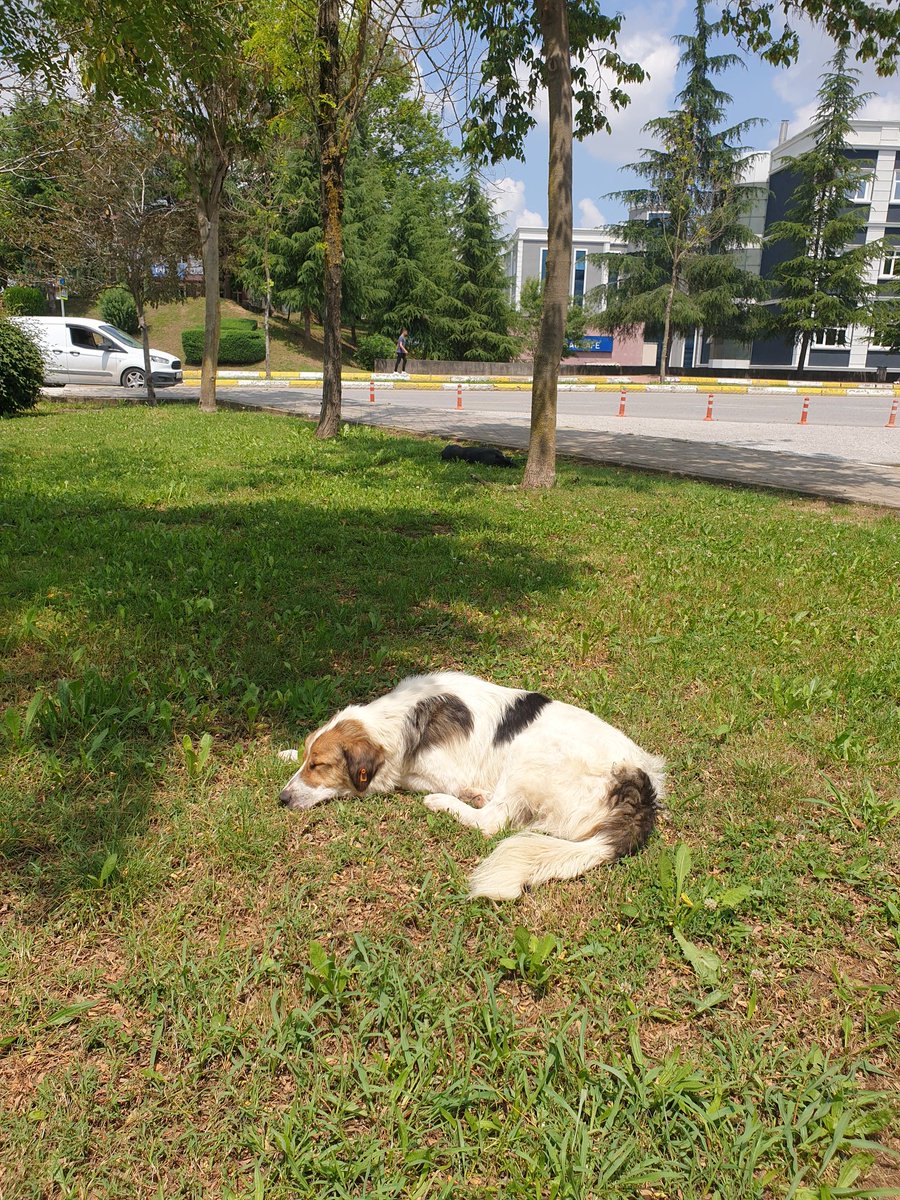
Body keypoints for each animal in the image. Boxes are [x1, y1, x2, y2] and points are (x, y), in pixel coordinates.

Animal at [278, 672, 667, 897]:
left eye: (320, 766)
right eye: (309, 761)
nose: (282, 798)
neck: (403, 715)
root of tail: (638, 789)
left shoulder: (437, 772)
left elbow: (399, 777)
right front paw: (285, 751)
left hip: (530, 753)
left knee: (491, 822)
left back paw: (447, 802)